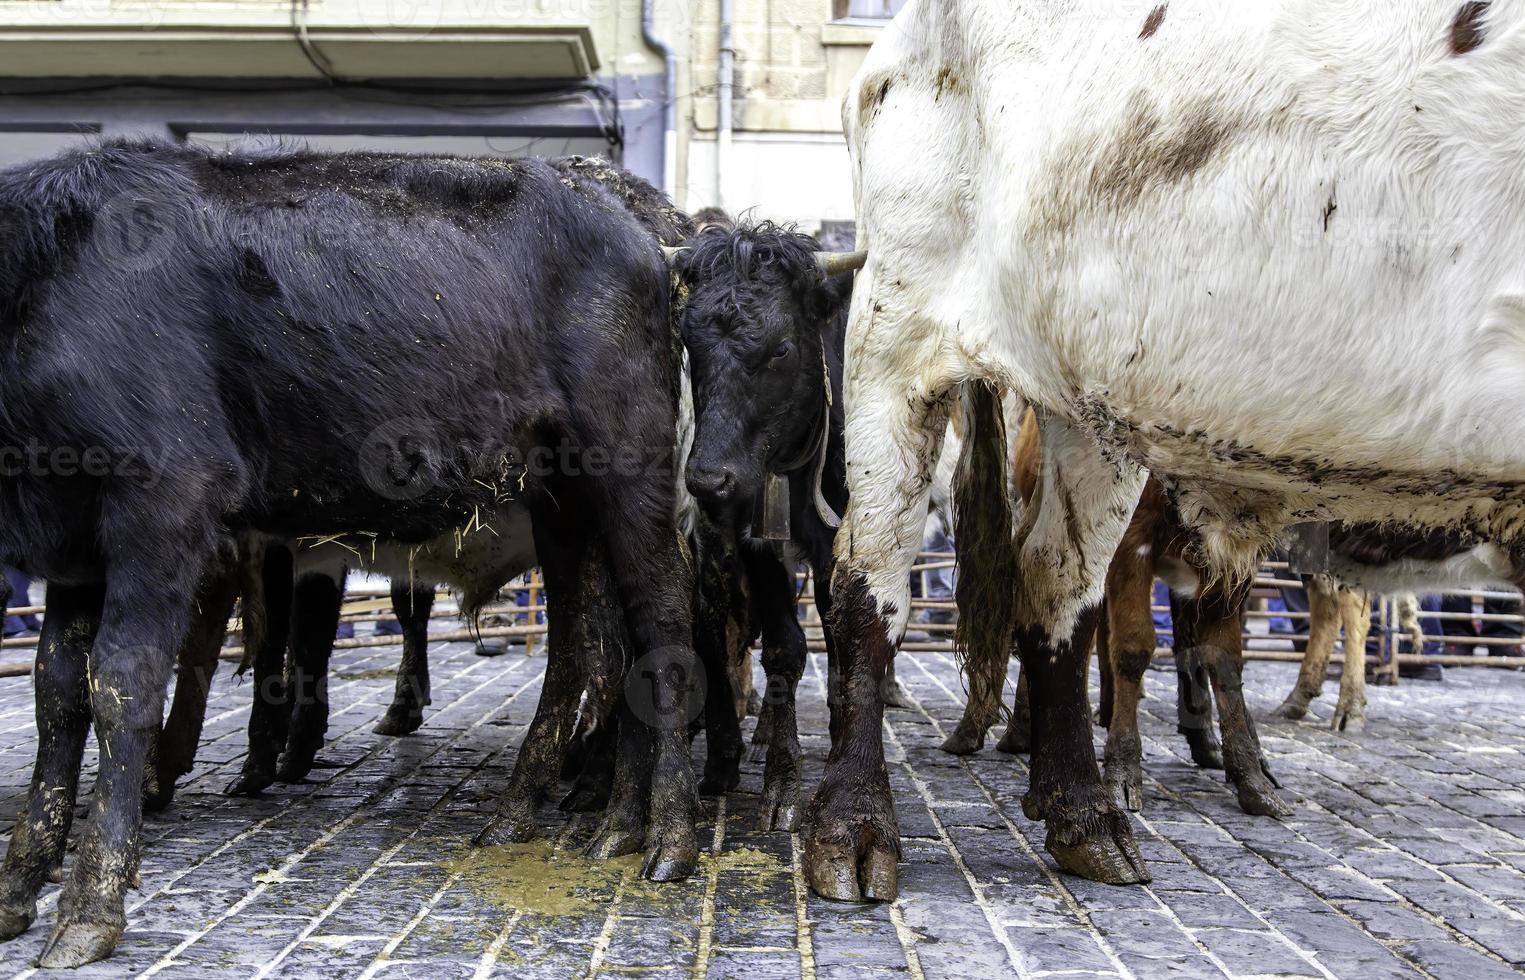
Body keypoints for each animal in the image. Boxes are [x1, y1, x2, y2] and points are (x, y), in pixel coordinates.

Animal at [0, 140, 698, 963]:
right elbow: (56, 695)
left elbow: (122, 684)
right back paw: (565, 818)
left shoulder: (162, 507)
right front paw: (20, 885)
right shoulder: (75, 545)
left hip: (630, 465)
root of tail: (636, 219)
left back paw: (670, 840)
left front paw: (89, 904)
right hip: (561, 499)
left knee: (662, 621)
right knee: (583, 648)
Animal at [817, 0, 1525, 902]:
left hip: (1090, 401)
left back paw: (1086, 820)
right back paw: (853, 828)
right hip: (899, 329)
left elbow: (1202, 650)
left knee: (1053, 589)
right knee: (869, 582)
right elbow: (1145, 648)